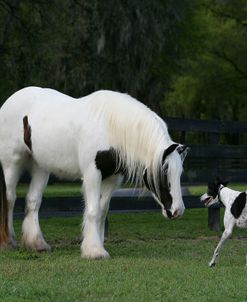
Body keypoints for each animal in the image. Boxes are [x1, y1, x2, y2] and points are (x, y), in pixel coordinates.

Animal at [0, 86, 188, 258]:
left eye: (179, 173)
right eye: (164, 173)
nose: (177, 211)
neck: (110, 127)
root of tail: (8, 102)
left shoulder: (112, 178)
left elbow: (102, 211)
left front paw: (97, 244)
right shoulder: (92, 174)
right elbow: (93, 210)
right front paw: (95, 251)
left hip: (40, 167)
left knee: (33, 201)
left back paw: (37, 244)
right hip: (12, 163)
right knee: (9, 198)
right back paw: (9, 242)